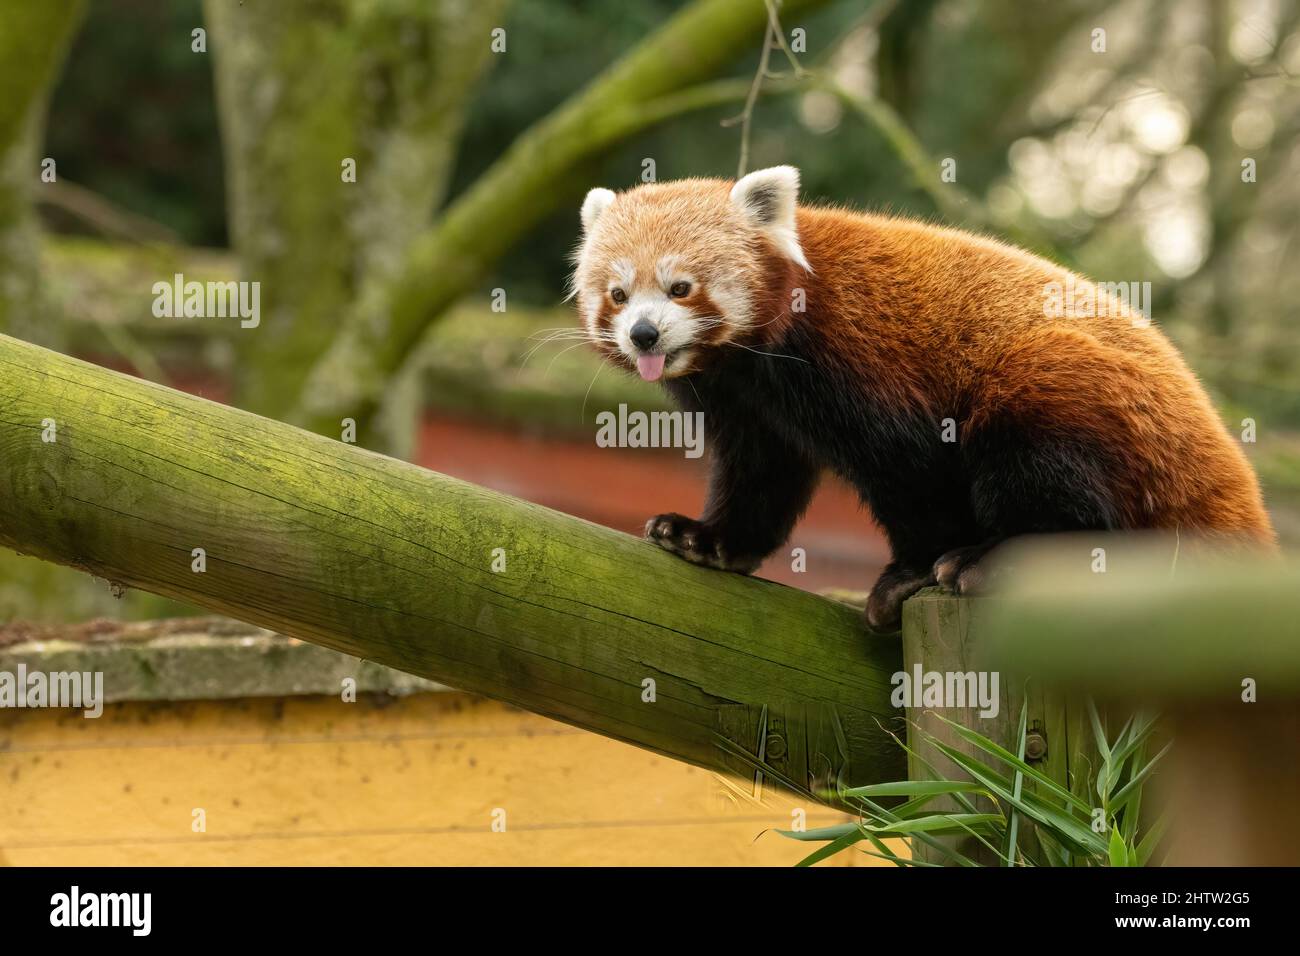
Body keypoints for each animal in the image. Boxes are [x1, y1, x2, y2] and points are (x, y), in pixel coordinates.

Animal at [574, 167, 1274, 632]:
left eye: (681, 286)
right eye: (617, 294)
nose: (643, 334)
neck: (756, 357)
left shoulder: (858, 359)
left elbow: (910, 471)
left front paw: (910, 570)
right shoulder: (743, 400)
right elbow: (760, 471)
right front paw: (709, 539)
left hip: (1078, 393)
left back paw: (994, 561)